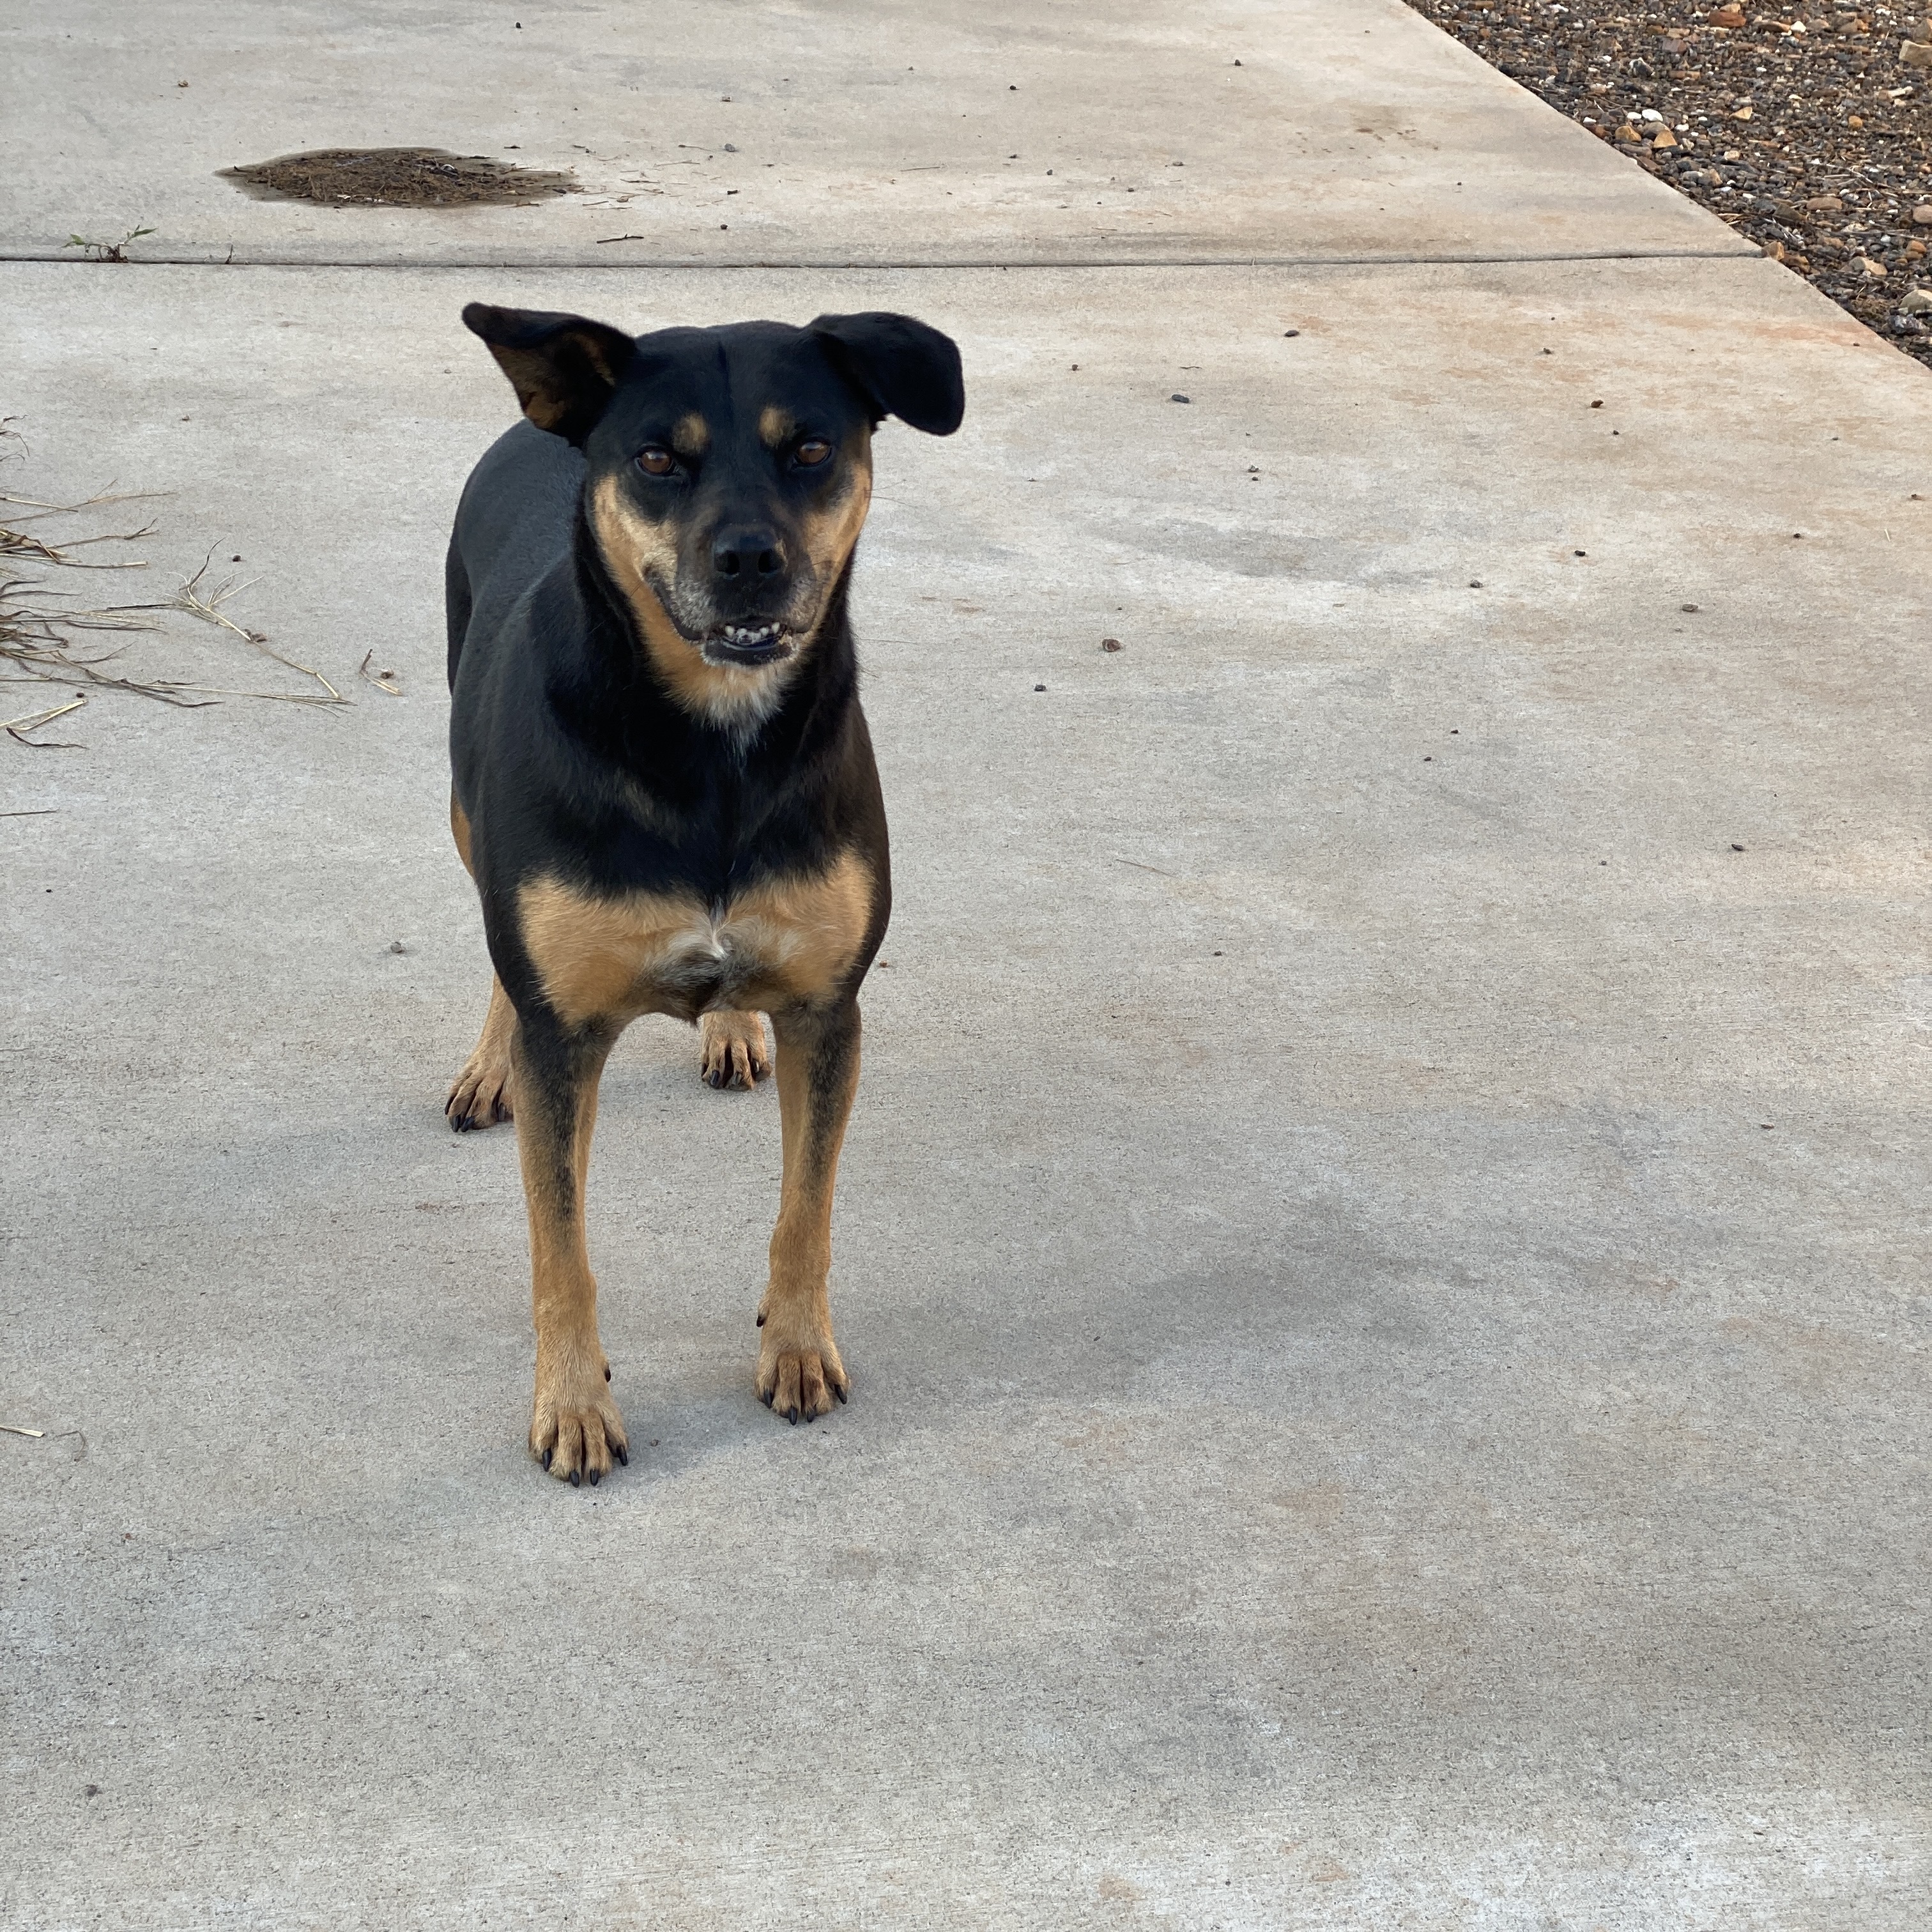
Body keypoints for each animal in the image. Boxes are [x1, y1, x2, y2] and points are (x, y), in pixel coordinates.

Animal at [442, 297, 962, 1476]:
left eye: (810, 449)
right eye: (654, 460)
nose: (749, 559)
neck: (711, 745)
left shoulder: (829, 1011)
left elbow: (805, 1211)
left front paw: (797, 1348)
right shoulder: (562, 1036)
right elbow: (562, 1250)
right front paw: (573, 1404)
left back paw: (729, 1025)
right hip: (464, 813)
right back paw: (488, 1062)